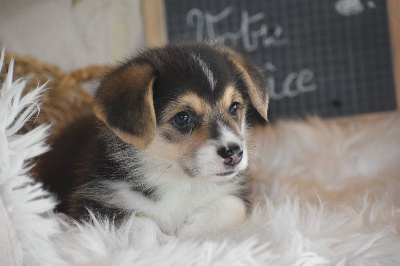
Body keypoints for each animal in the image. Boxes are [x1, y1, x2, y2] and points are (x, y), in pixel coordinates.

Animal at [37, 42, 268, 238]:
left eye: (234, 108)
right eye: (182, 118)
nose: (235, 154)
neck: (175, 180)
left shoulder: (236, 192)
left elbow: (233, 206)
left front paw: (189, 231)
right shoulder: (95, 207)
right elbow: (139, 223)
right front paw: (167, 241)